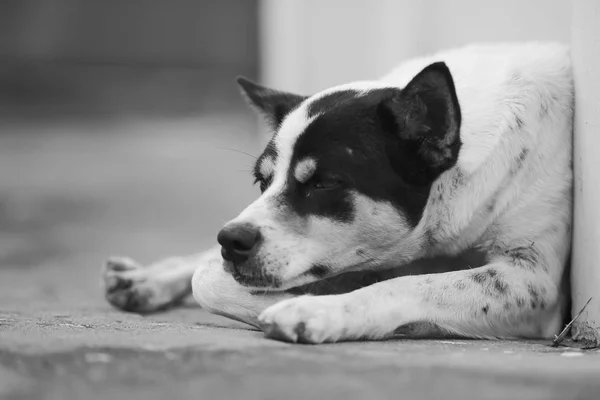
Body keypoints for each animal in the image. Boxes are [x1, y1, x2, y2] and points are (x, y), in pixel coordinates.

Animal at [104, 43, 576, 344]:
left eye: (324, 183)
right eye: (262, 181)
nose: (231, 241)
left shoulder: (531, 280)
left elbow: (405, 286)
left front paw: (314, 309)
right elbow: (207, 276)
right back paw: (144, 279)